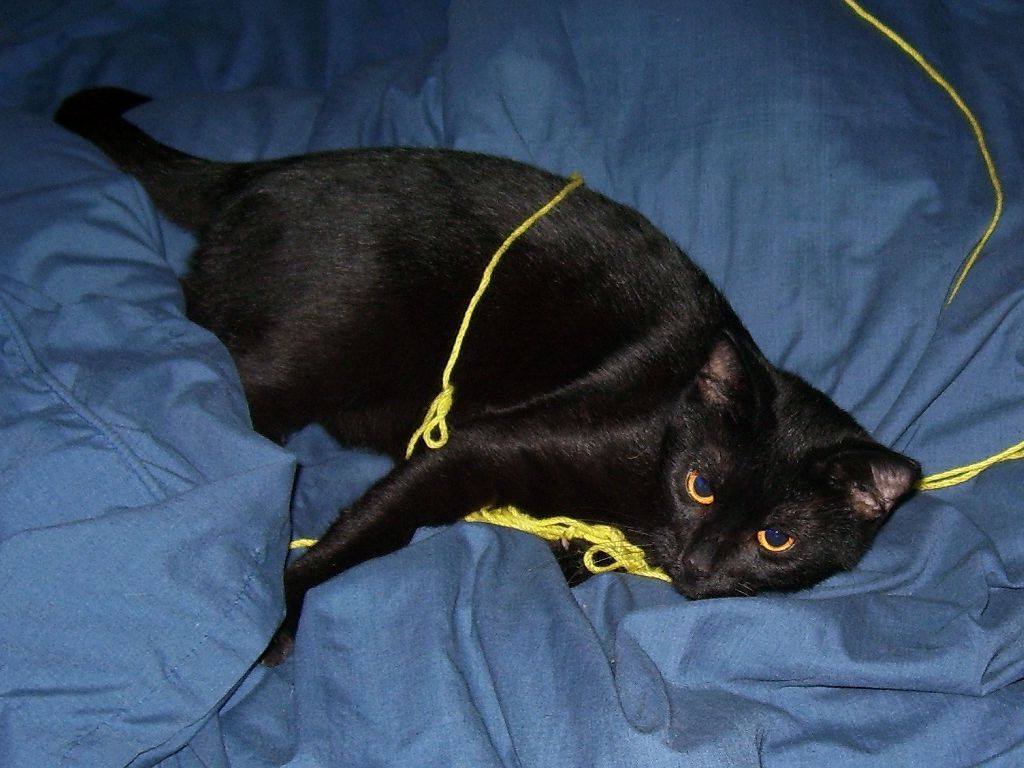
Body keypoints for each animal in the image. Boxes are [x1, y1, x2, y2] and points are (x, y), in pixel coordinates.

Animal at [56, 87, 921, 665]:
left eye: (777, 538)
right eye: (701, 486)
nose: (702, 563)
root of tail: (255, 176)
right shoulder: (481, 446)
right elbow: (371, 525)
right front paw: (283, 609)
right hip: (295, 356)